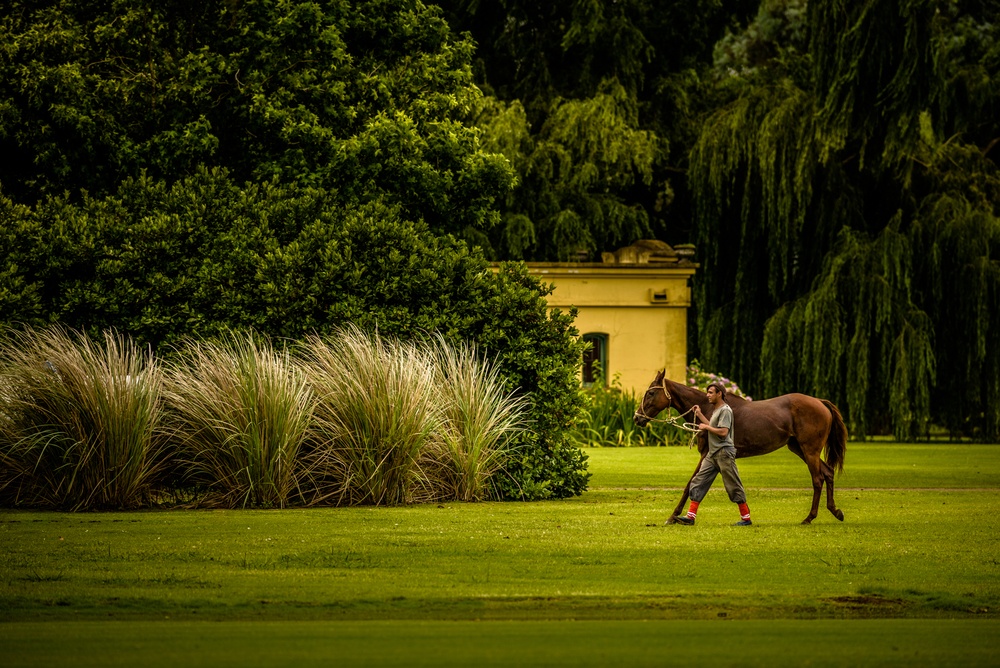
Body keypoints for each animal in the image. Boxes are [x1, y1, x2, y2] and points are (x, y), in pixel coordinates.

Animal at [632, 370, 844, 520]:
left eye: (651, 393)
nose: (636, 418)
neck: (710, 408)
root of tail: (820, 402)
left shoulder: (706, 454)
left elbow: (690, 484)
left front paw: (673, 516)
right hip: (799, 448)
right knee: (827, 473)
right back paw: (835, 511)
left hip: (810, 450)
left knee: (818, 479)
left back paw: (809, 517)